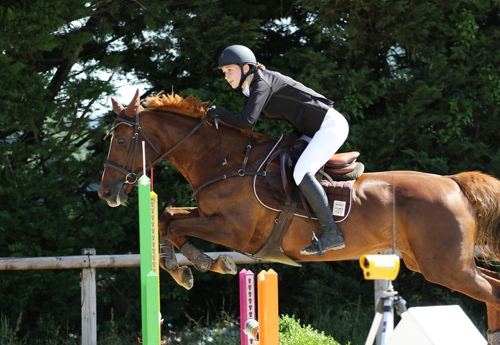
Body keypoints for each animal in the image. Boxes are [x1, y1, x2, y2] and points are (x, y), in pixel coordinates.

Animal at [98, 88, 500, 342]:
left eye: (122, 140)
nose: (106, 193)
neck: (226, 163)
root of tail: (454, 184)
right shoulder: (210, 215)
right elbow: (168, 217)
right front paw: (183, 267)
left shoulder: (235, 232)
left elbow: (175, 223)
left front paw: (199, 265)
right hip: (436, 262)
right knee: (493, 287)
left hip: (445, 267)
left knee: (491, 292)